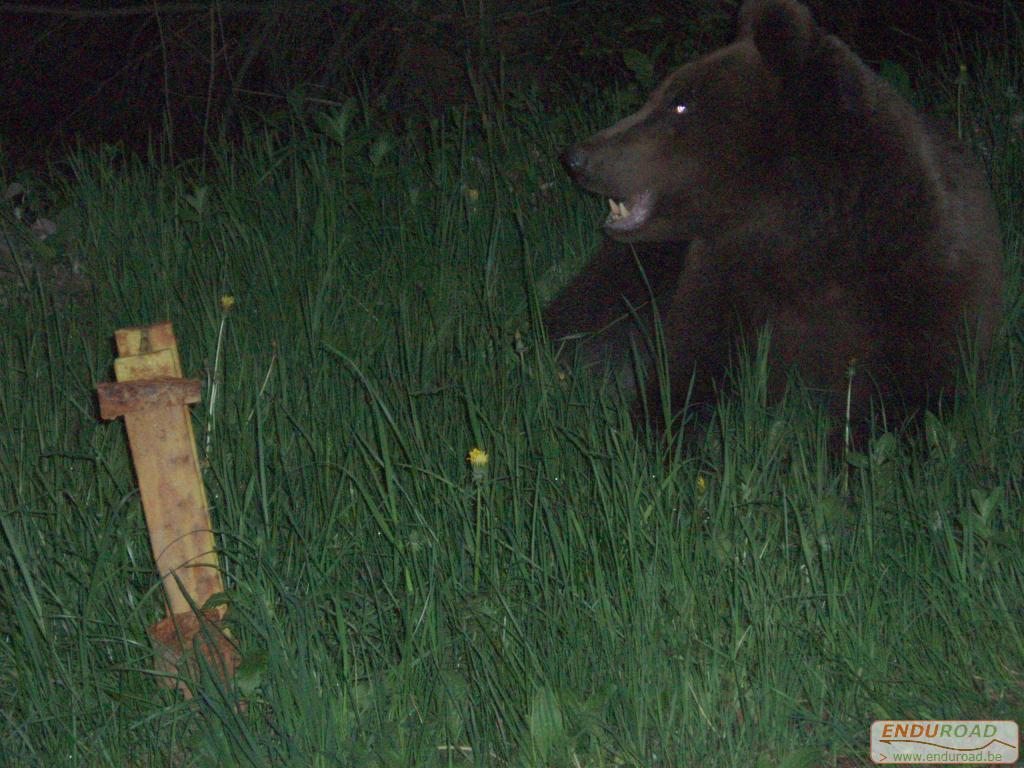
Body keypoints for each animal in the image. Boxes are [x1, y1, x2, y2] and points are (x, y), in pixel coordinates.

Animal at [548, 0, 1003, 438]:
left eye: (680, 103)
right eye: (660, 94)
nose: (576, 157)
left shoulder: (916, 283)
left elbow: (902, 401)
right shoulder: (723, 282)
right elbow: (685, 376)